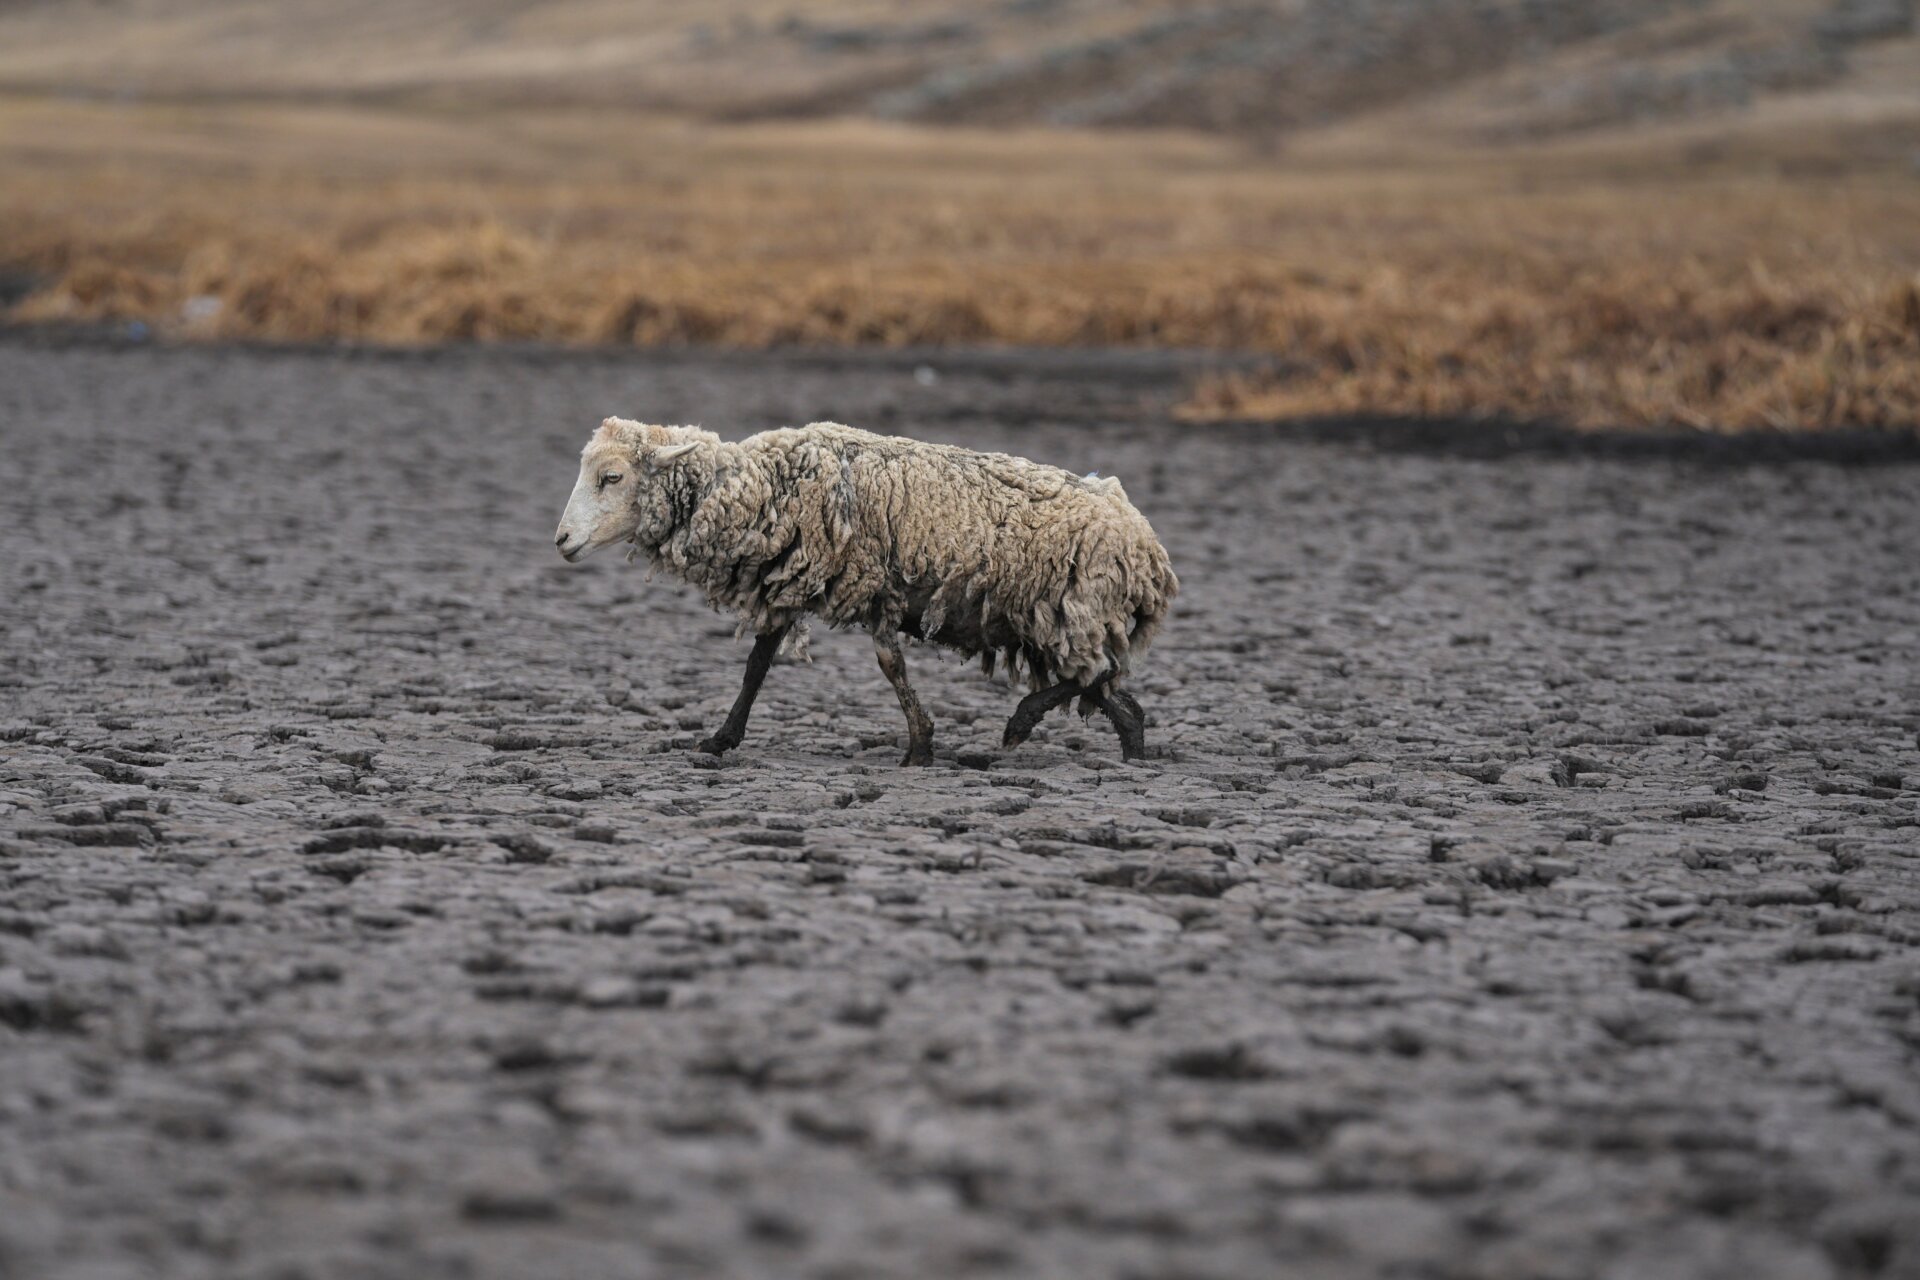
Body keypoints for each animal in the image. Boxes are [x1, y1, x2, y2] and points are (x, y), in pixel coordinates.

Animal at [553, 416, 1177, 764]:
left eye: (611, 477)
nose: (561, 541)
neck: (765, 486)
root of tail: (1147, 543)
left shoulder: (874, 585)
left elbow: (889, 665)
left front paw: (920, 747)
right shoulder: (791, 580)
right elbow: (757, 666)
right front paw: (720, 739)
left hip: (1070, 610)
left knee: (1091, 674)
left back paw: (1020, 723)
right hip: (1060, 620)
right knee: (1110, 690)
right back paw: (1131, 753)